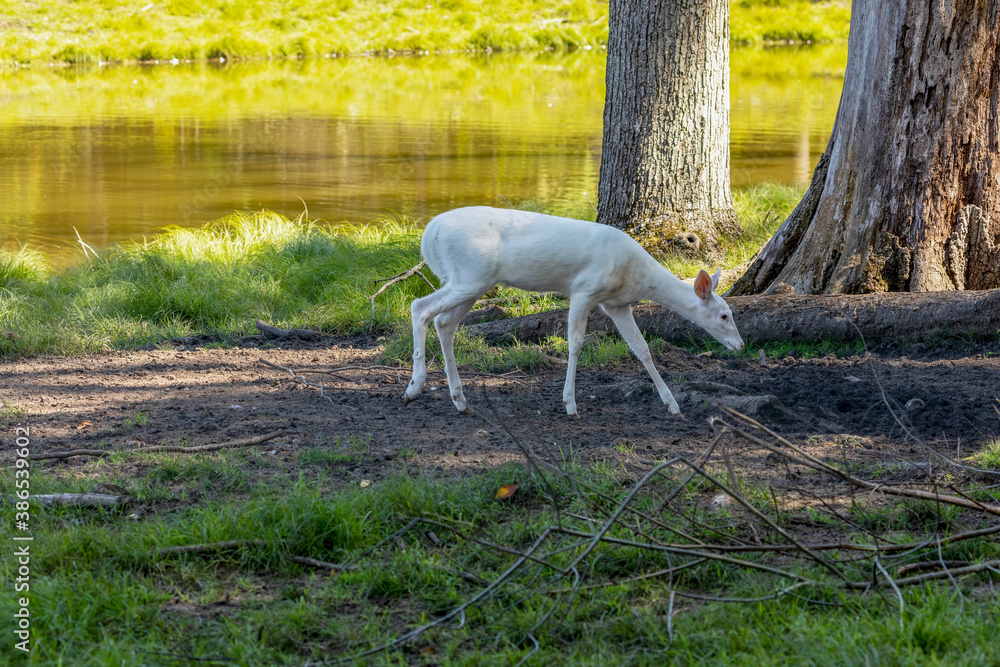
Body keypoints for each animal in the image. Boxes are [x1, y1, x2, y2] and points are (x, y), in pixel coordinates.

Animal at [403, 206, 744, 418]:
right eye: (724, 315)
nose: (740, 345)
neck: (634, 277)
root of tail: (429, 232)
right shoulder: (584, 290)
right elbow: (576, 343)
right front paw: (570, 405)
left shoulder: (616, 303)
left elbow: (641, 348)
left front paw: (672, 404)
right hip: (469, 275)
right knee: (419, 308)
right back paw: (414, 387)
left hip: (471, 280)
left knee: (444, 323)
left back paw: (460, 401)